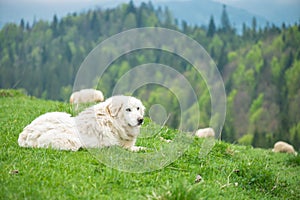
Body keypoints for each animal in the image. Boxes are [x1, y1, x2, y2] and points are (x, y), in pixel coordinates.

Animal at [17, 95, 146, 152]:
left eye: (138, 108)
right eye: (128, 109)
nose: (141, 120)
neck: (112, 122)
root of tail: (24, 135)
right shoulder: (114, 145)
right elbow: (131, 148)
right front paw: (141, 149)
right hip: (71, 141)